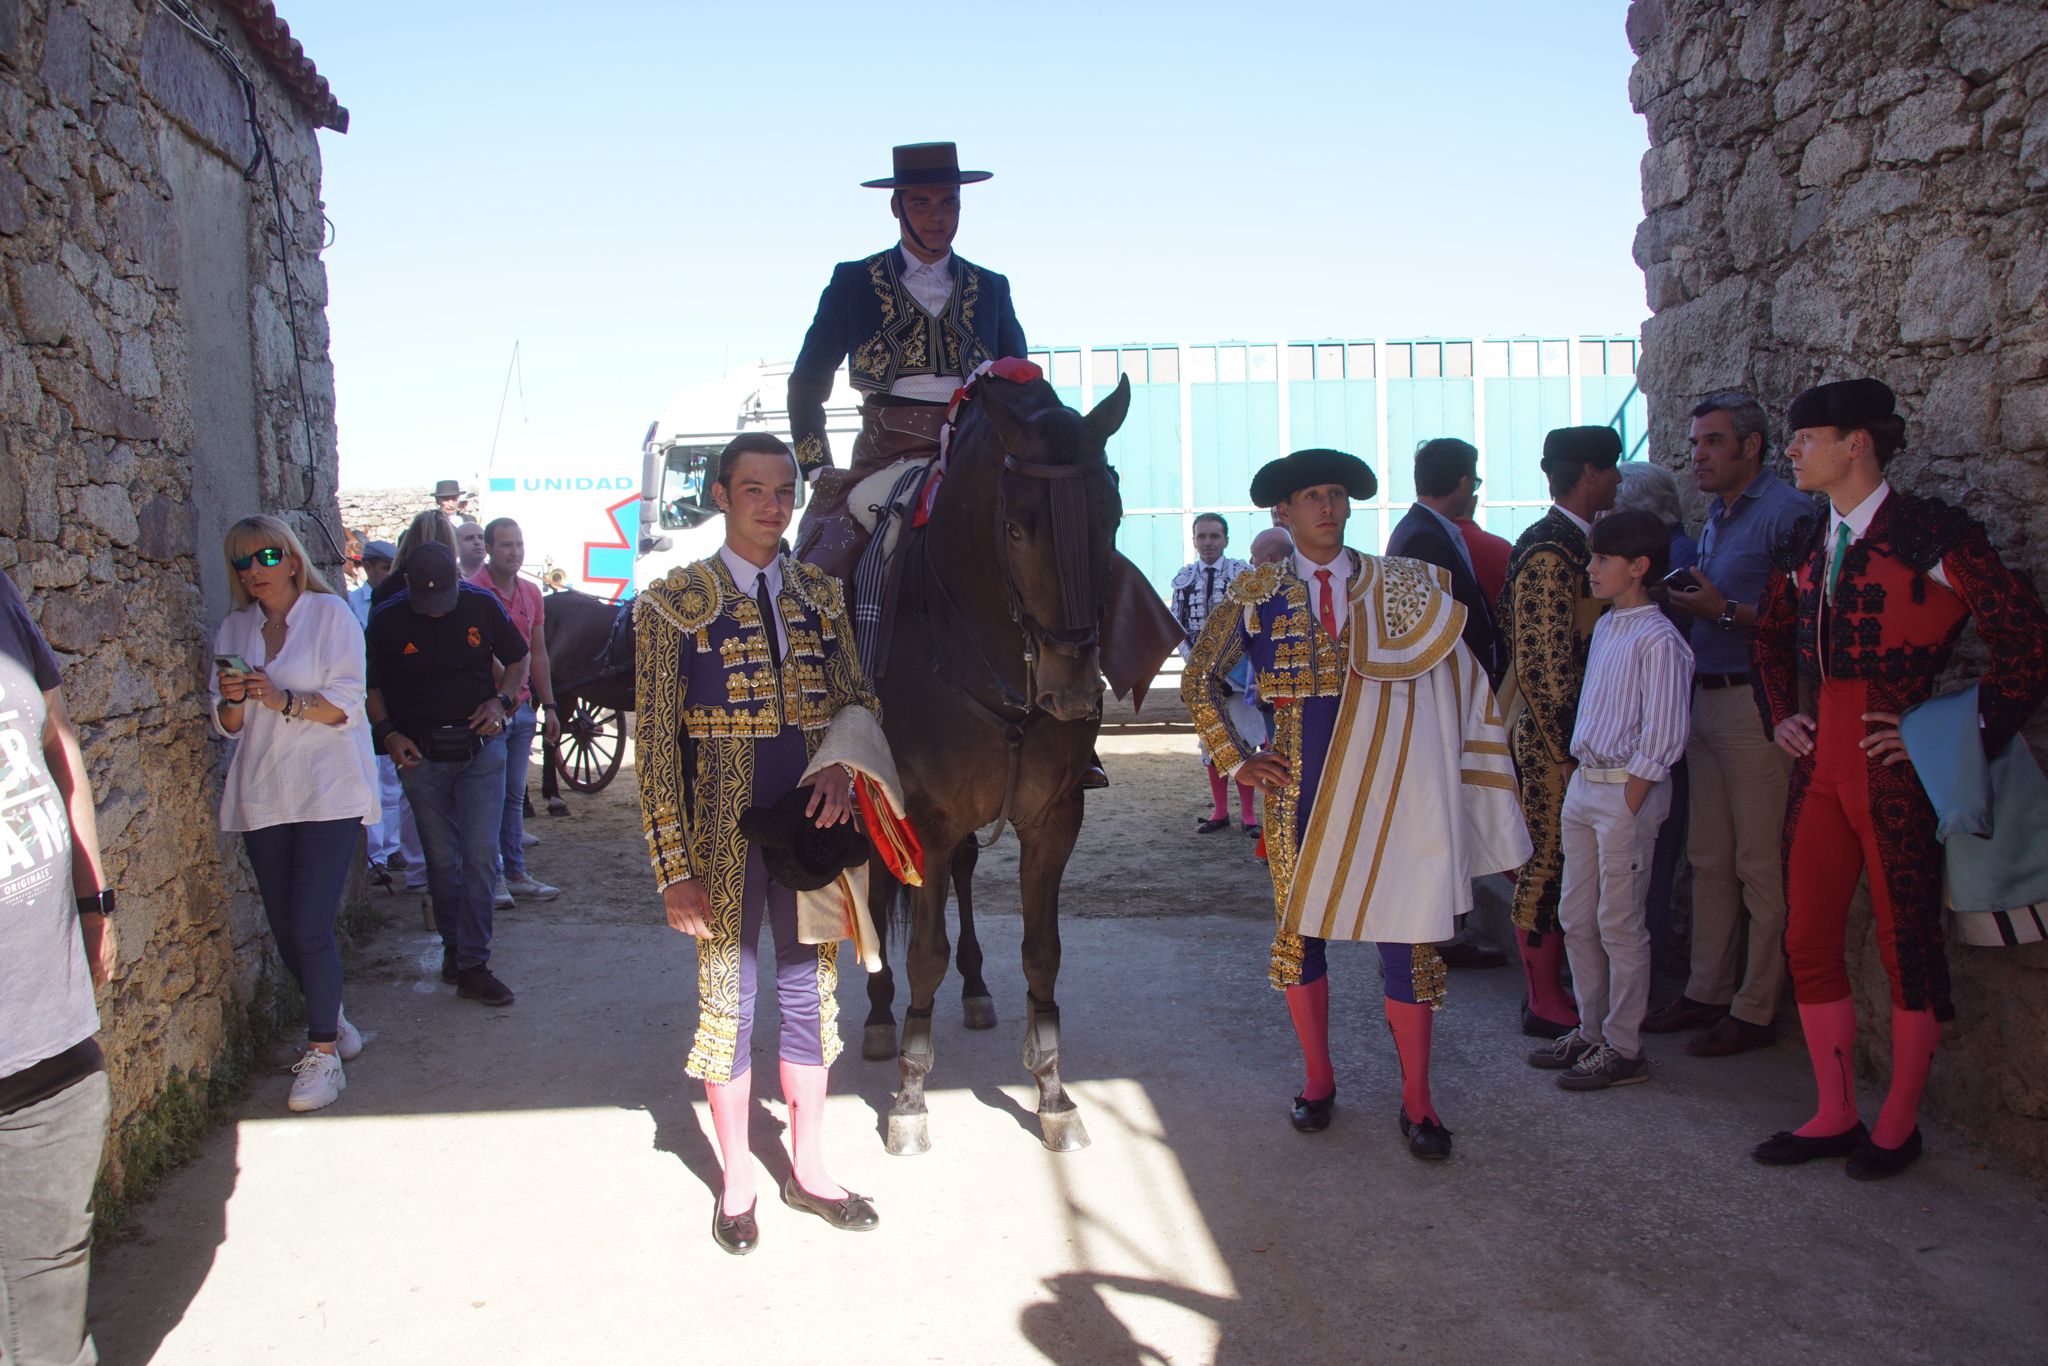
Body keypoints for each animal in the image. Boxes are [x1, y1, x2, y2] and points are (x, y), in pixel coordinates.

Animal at [856, 368, 1130, 1163]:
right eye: (1016, 527)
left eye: (1113, 515)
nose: (1073, 689)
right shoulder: (923, 819)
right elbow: (923, 951)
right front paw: (911, 1098)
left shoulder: (1053, 820)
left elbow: (1043, 952)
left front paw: (1053, 1092)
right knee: (881, 887)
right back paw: (879, 1018)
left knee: (967, 876)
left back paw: (975, 989)